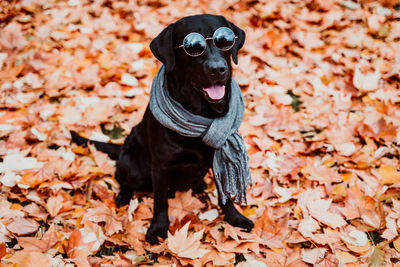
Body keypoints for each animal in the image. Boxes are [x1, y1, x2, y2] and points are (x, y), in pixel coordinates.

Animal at [71, 14, 253, 245]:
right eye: (193, 47)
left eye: (225, 41)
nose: (218, 69)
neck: (201, 113)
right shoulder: (160, 166)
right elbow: (160, 201)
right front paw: (158, 228)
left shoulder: (219, 155)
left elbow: (225, 195)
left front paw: (235, 218)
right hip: (134, 167)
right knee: (123, 176)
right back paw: (124, 195)